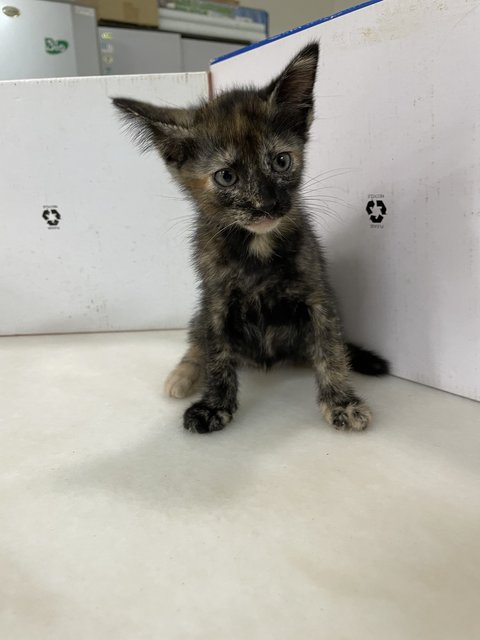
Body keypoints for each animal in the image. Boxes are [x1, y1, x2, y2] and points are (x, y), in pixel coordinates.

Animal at [113, 45, 390, 436]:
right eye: (226, 177)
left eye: (281, 161)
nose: (268, 204)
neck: (257, 247)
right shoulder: (214, 302)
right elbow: (216, 354)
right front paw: (214, 405)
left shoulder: (317, 295)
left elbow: (330, 348)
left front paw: (341, 401)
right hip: (199, 313)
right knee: (196, 341)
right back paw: (182, 375)